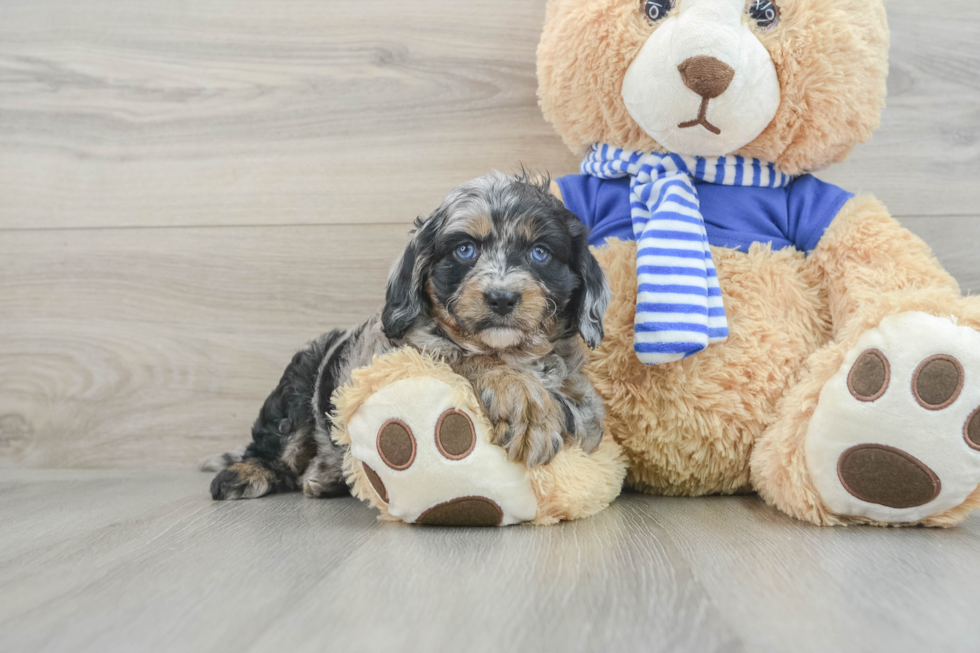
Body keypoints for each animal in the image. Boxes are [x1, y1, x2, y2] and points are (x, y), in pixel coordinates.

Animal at [204, 172, 608, 500]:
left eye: (540, 252)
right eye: (465, 249)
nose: (502, 297)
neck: (511, 351)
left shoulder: (587, 413)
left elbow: (578, 410)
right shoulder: (396, 356)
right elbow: (460, 357)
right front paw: (521, 398)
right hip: (295, 393)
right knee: (275, 448)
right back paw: (247, 473)